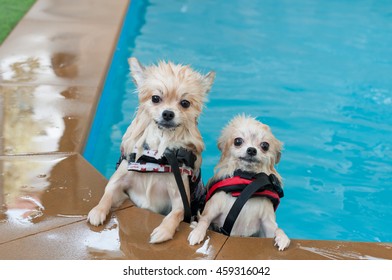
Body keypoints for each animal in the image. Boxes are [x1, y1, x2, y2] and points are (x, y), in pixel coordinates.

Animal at [87, 56, 214, 243]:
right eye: (155, 98)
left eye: (185, 103)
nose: (168, 113)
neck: (154, 156)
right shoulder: (119, 182)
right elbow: (107, 193)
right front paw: (98, 210)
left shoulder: (180, 198)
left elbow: (175, 214)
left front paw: (164, 231)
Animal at [187, 115, 290, 250]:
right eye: (238, 141)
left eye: (265, 145)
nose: (251, 150)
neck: (248, 178)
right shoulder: (213, 208)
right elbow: (204, 220)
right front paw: (197, 232)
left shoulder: (267, 223)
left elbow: (277, 229)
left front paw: (283, 237)